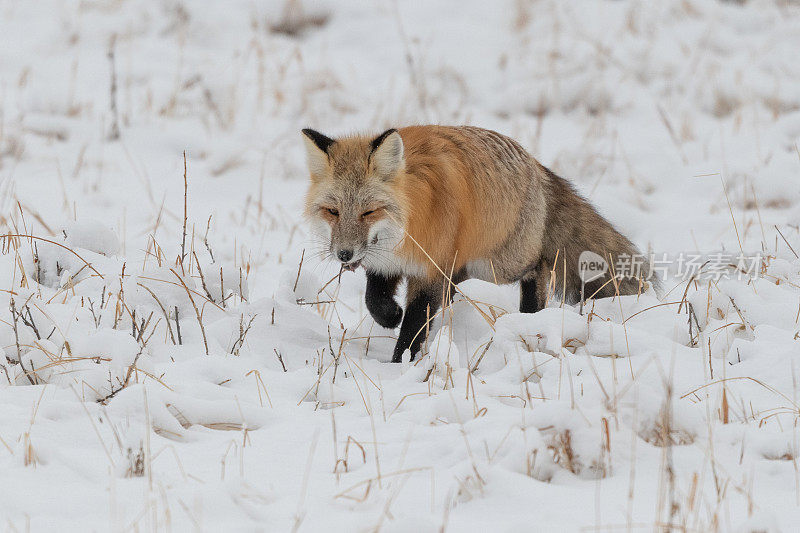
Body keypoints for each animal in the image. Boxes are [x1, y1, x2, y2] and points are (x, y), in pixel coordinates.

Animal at [304, 125, 648, 362]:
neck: (409, 221)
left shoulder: (430, 269)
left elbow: (414, 326)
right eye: (333, 211)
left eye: (368, 212)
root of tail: (534, 163)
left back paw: (531, 316)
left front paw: (401, 364)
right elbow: (374, 300)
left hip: (498, 265)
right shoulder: (386, 263)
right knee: (456, 284)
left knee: (539, 266)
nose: (343, 254)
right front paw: (391, 316)